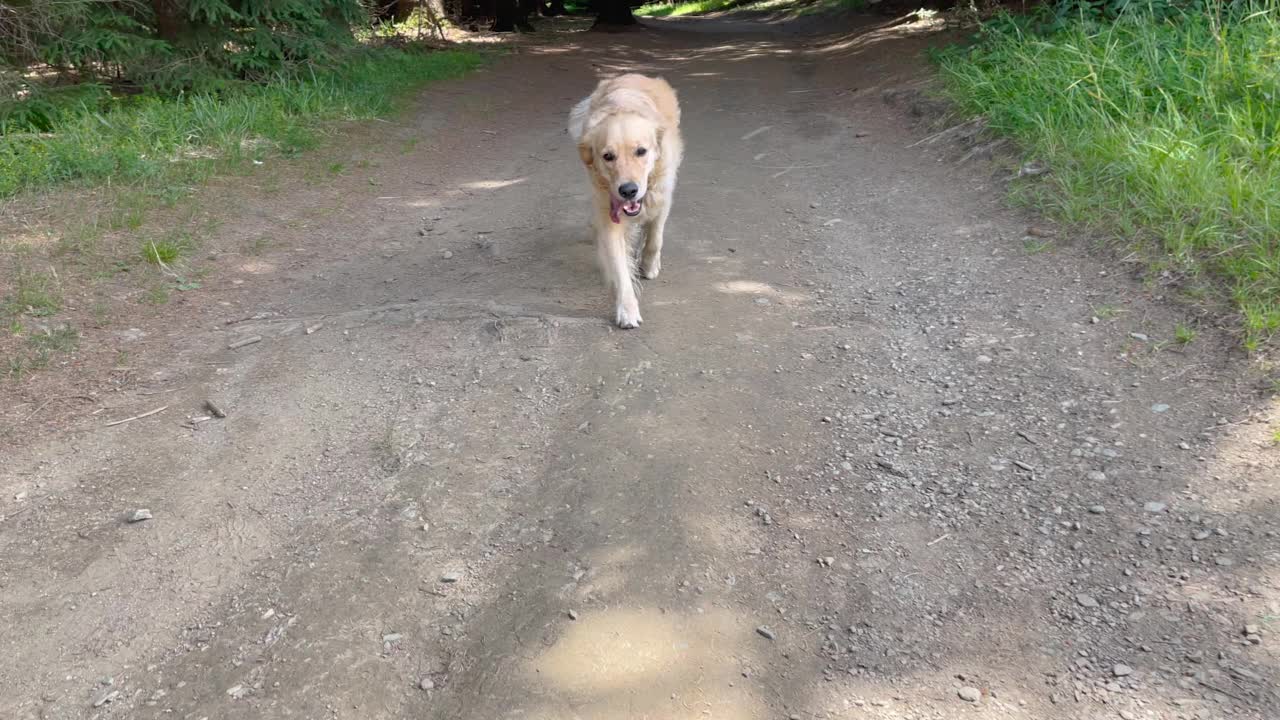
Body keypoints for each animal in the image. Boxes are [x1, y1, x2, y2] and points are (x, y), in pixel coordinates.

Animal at [568, 72, 680, 325]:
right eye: (608, 156)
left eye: (641, 151)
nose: (628, 190)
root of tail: (632, 74)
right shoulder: (609, 214)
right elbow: (619, 267)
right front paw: (627, 310)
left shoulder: (663, 197)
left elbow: (655, 238)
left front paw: (649, 265)